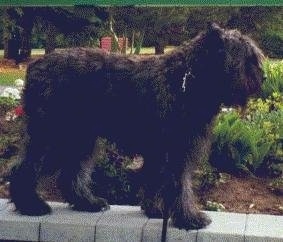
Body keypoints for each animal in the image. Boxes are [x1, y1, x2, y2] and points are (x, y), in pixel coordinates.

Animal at [10, 23, 264, 230]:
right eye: (245, 57)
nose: (261, 77)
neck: (187, 78)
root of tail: (34, 66)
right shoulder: (176, 149)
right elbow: (180, 185)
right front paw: (189, 218)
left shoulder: (160, 151)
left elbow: (155, 179)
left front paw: (155, 209)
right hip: (52, 135)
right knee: (24, 168)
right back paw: (31, 206)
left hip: (80, 138)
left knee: (71, 172)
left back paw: (87, 202)